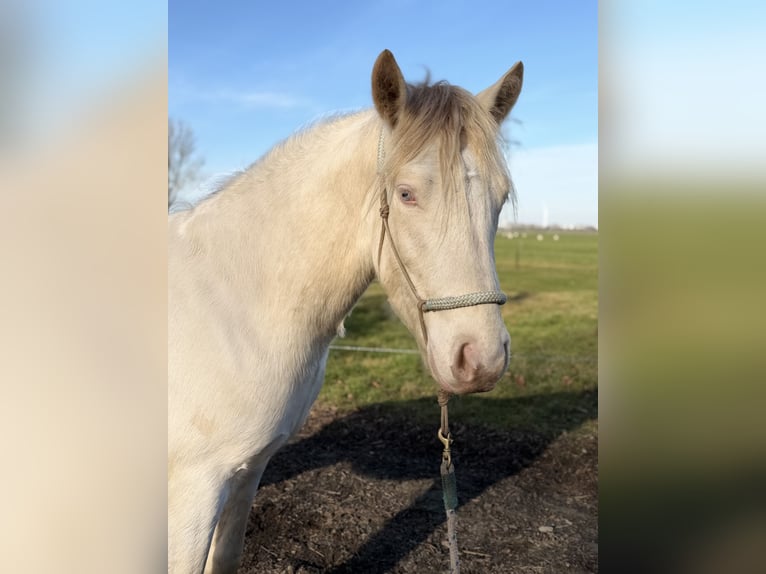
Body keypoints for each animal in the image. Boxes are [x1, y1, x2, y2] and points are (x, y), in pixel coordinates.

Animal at [168, 49, 523, 574]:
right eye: (405, 194)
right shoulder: (195, 488)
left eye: (499, 197)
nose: (481, 359)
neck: (232, 305)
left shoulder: (247, 470)